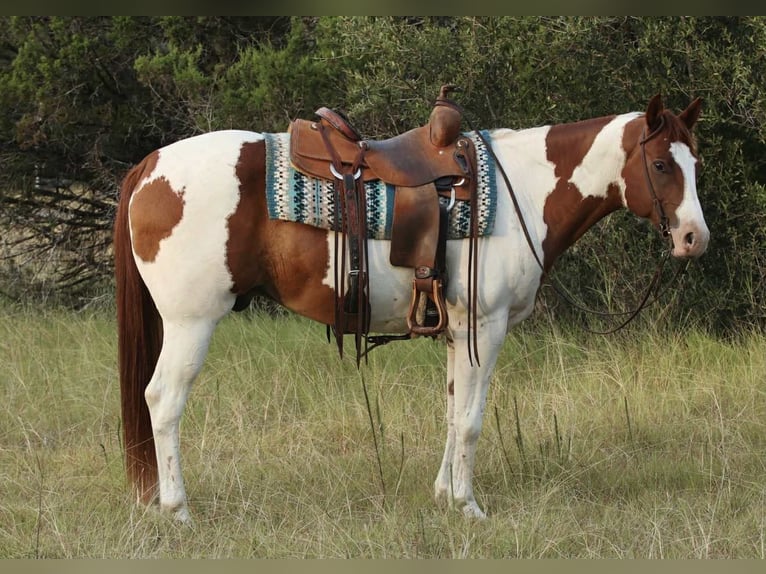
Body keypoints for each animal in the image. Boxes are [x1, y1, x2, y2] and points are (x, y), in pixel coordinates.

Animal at [114, 94, 708, 522]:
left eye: (695, 163)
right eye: (661, 164)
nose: (694, 239)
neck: (525, 189)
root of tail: (152, 165)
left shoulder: (457, 332)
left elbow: (451, 410)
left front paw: (444, 495)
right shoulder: (485, 327)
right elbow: (470, 420)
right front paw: (469, 508)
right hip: (191, 323)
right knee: (163, 401)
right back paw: (178, 510)